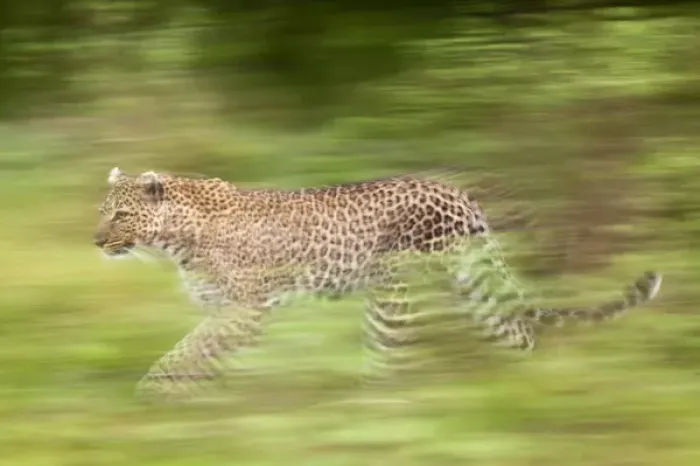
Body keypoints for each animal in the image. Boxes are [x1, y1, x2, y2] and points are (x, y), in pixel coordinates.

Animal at [94, 167, 663, 400]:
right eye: (102, 211)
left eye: (120, 215)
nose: (95, 241)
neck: (173, 239)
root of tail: (458, 193)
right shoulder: (223, 310)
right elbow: (198, 353)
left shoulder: (246, 309)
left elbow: (185, 352)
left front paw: (152, 396)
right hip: (470, 283)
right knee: (517, 332)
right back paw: (525, 387)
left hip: (394, 292)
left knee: (392, 359)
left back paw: (370, 409)